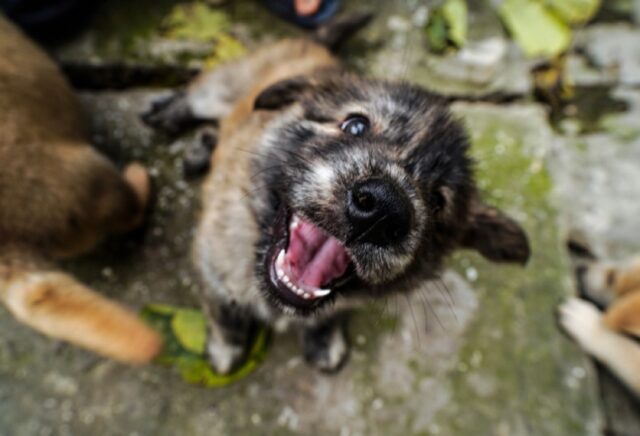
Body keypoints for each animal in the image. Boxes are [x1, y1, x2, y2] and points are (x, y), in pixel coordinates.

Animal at [145, 16, 528, 372]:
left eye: (438, 203)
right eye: (355, 125)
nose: (383, 210)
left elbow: (329, 313)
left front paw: (323, 339)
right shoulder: (210, 256)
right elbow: (222, 308)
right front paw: (226, 348)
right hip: (223, 87)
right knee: (198, 96)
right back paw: (171, 114)